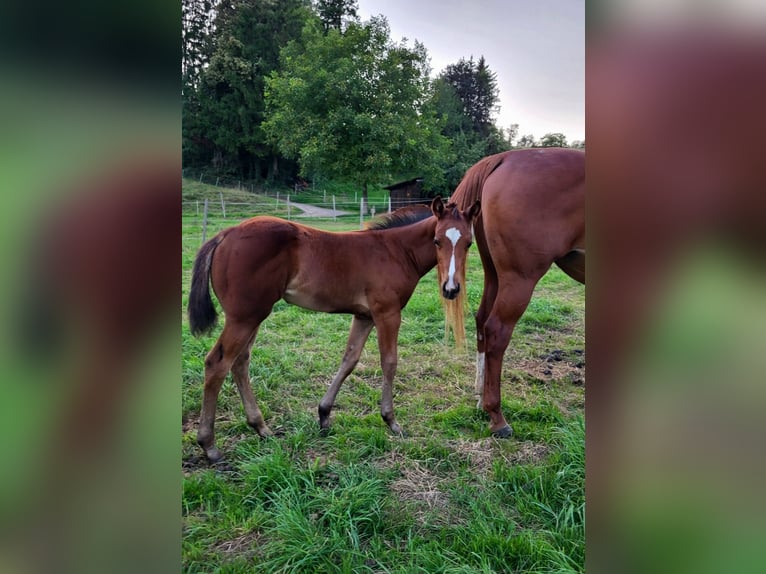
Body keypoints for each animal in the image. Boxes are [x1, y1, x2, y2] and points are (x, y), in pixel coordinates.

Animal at [188, 198, 480, 462]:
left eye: (468, 243)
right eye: (437, 241)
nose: (451, 289)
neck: (395, 251)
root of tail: (225, 234)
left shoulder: (364, 316)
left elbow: (349, 359)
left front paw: (324, 414)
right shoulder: (387, 313)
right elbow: (389, 362)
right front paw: (391, 420)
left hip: (254, 315)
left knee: (240, 362)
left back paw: (261, 427)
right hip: (244, 317)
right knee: (218, 363)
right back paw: (209, 445)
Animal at [434, 147, 585, 437]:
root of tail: (504, 157)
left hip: (495, 275)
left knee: (482, 320)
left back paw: (481, 398)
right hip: (519, 280)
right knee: (496, 329)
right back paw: (497, 416)